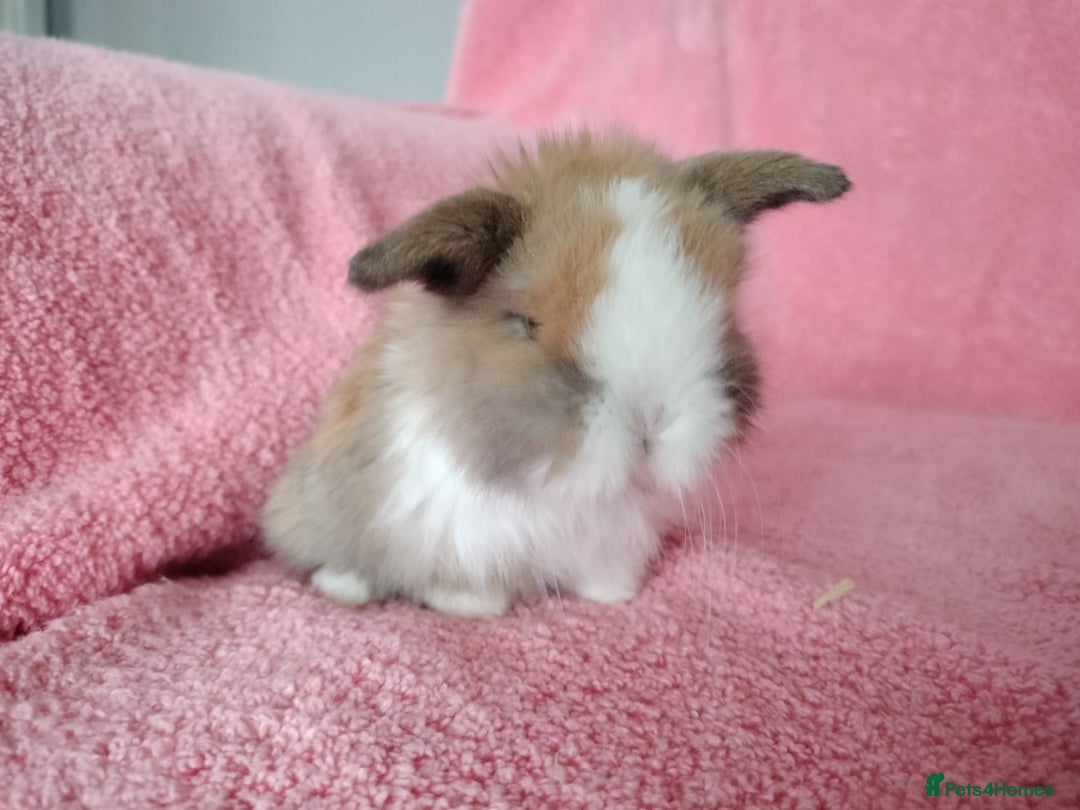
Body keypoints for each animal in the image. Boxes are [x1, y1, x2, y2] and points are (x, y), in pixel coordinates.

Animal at [262, 133, 850, 618]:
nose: (650, 424)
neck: (566, 494)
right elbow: (458, 579)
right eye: (527, 324)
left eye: (723, 317)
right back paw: (345, 589)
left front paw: (614, 596)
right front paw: (469, 607)